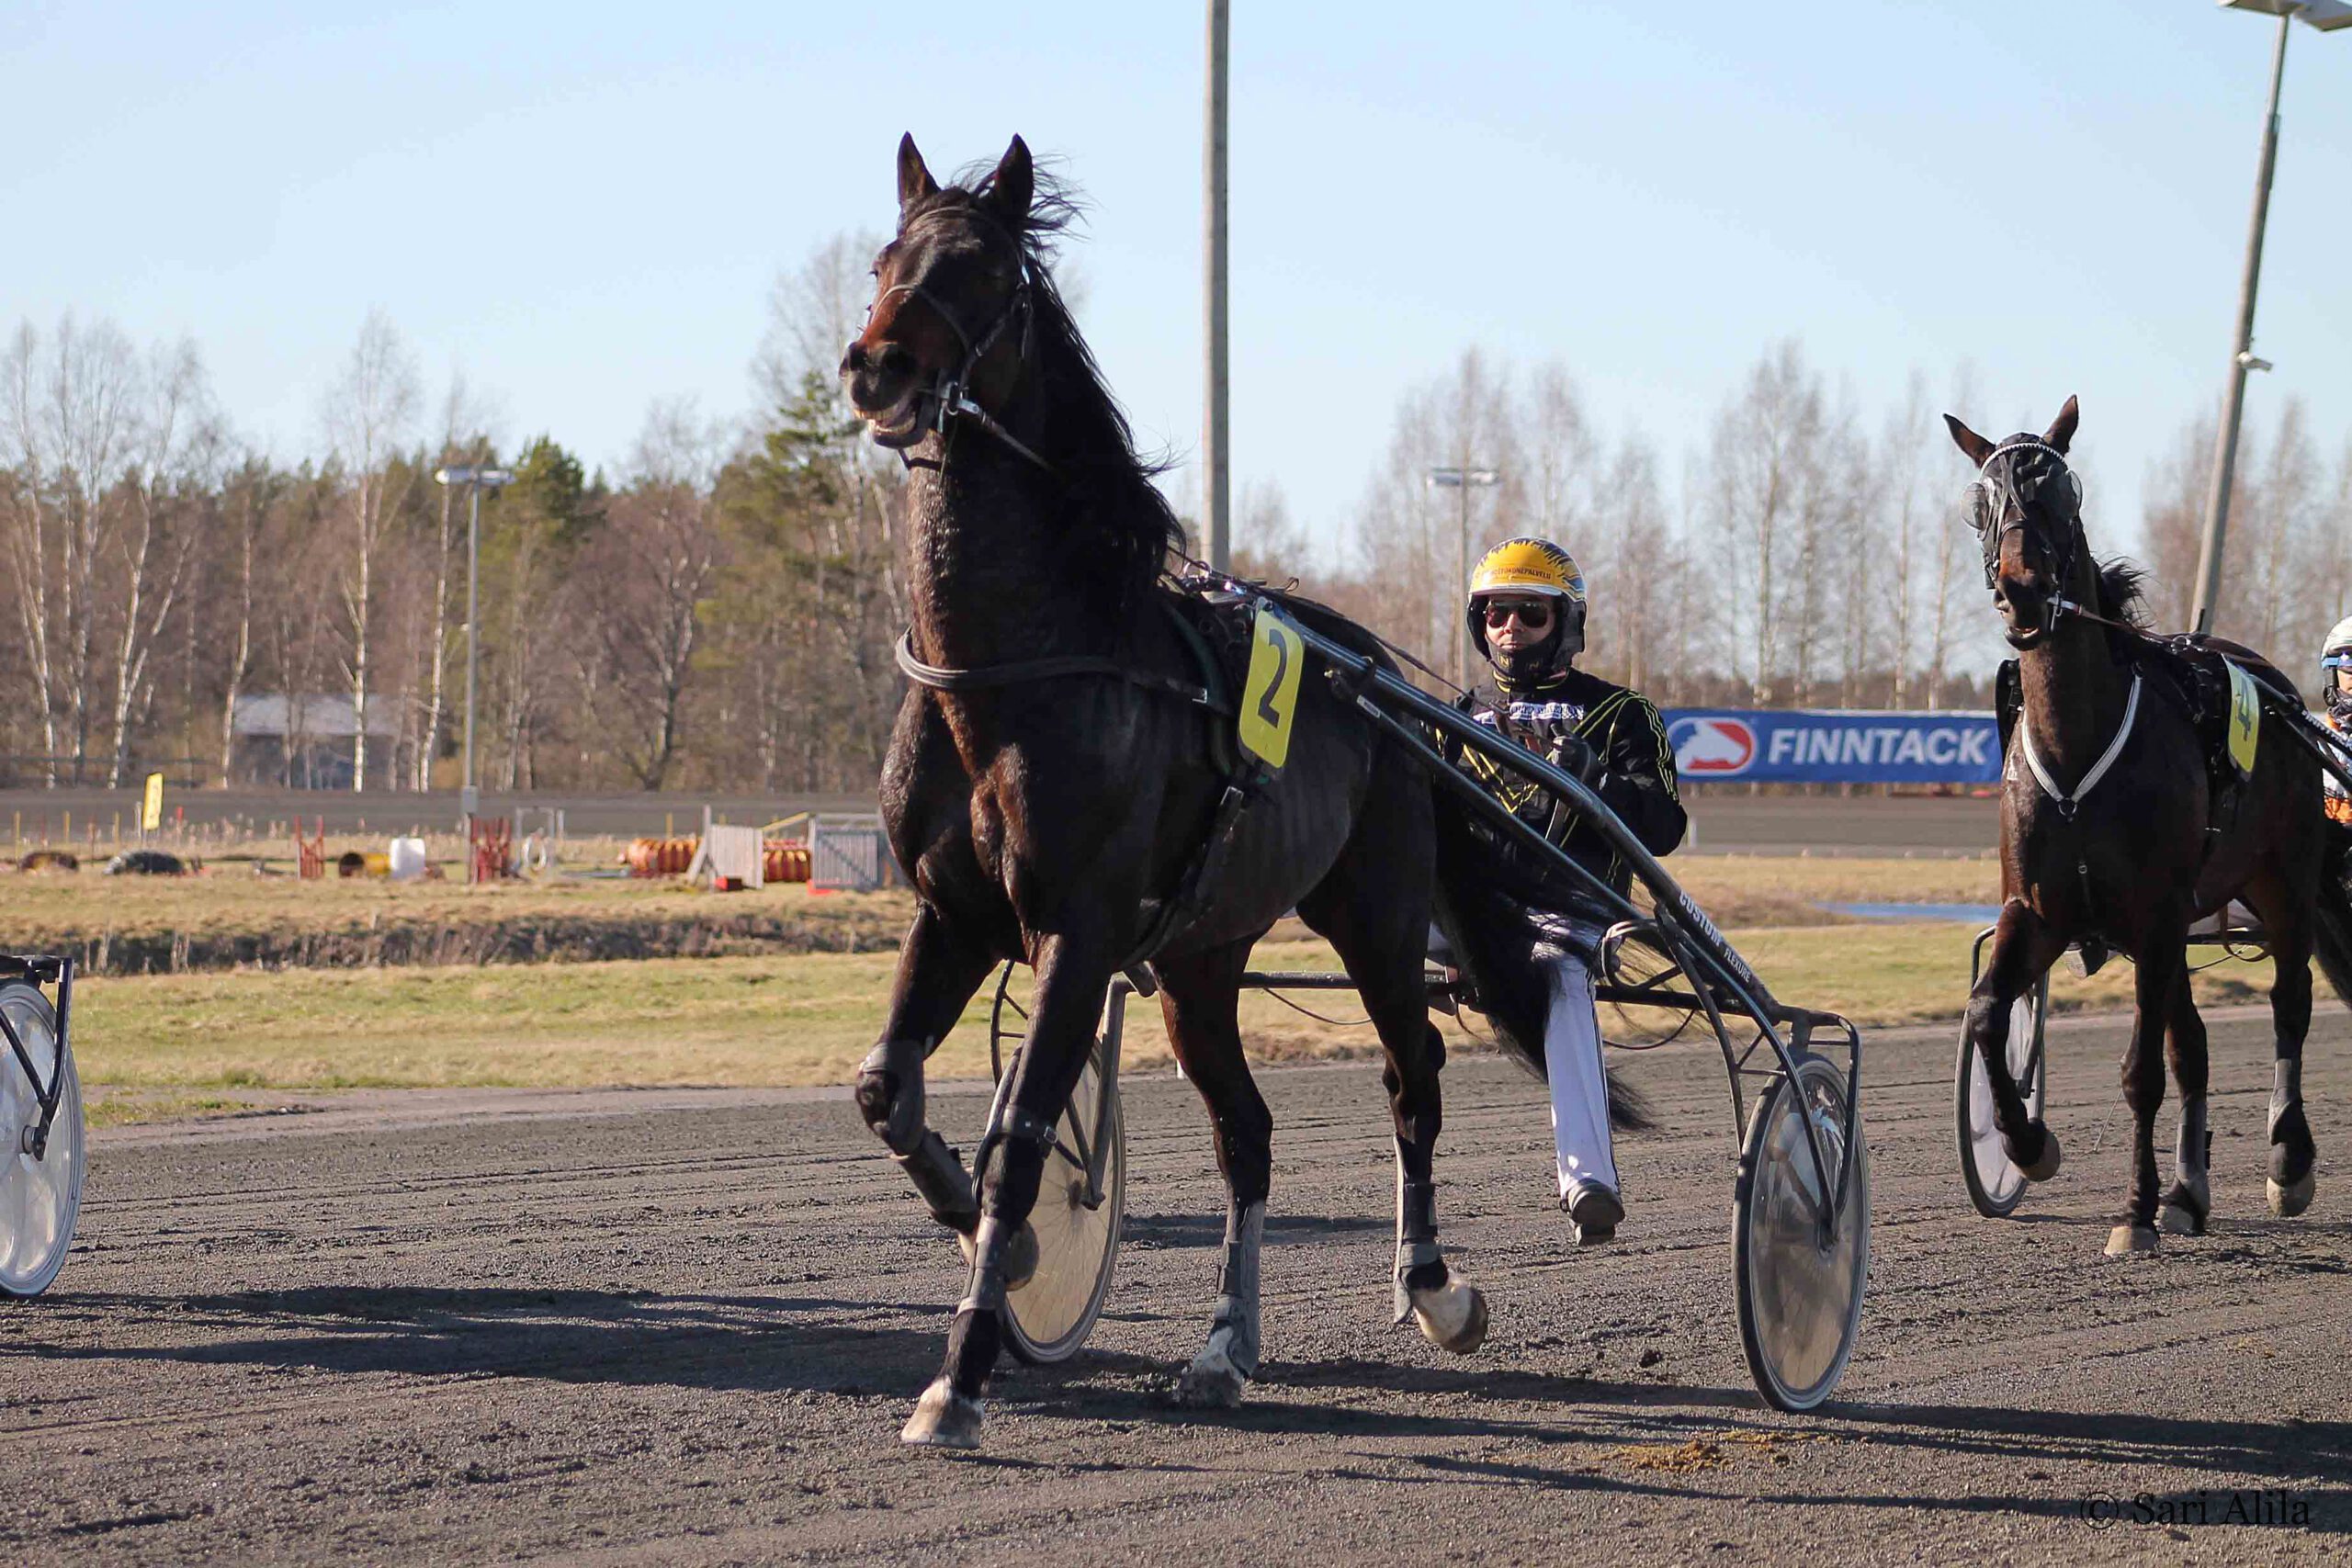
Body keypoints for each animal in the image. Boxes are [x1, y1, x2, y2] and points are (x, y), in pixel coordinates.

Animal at [839, 135, 1598, 1449]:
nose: (875, 363)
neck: (1020, 662)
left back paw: (1432, 1289)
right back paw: (1221, 1346)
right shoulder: (957, 912)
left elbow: (1022, 1142)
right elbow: (888, 1091)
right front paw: (995, 1235)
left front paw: (963, 1372)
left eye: (983, 270)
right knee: (1245, 1130)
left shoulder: (1077, 929)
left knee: (1413, 1074)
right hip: (1202, 958)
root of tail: (1388, 692)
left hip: (1376, 915)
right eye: (885, 258)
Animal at [1946, 396, 2352, 1256]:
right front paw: (2026, 1144)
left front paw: (2132, 1213)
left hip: (2282, 880)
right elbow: (1989, 1011)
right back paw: (2187, 1194)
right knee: (2192, 1042)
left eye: (2061, 494)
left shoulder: (2156, 914)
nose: (2022, 590)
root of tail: (2281, 693)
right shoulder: (2038, 910)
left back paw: (2287, 1160)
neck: (2080, 744)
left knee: (2289, 999)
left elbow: (2141, 1072)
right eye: (1979, 502)